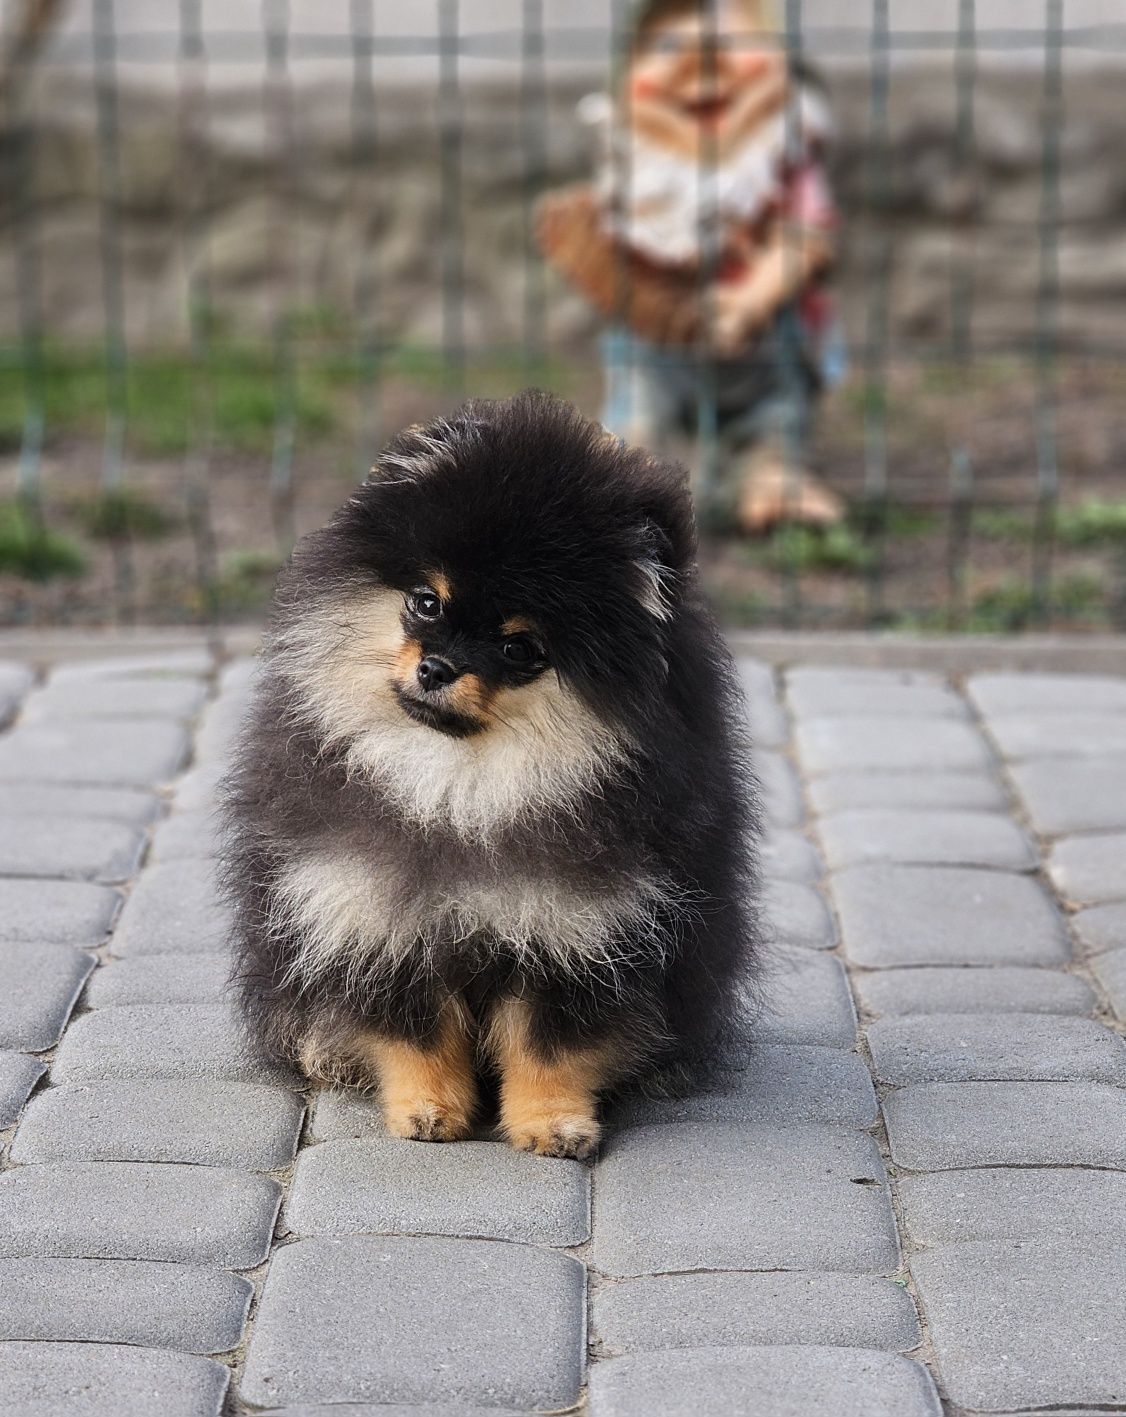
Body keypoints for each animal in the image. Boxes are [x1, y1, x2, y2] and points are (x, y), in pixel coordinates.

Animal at [225, 391, 759, 1161]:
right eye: (426, 601)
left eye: (520, 647)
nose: (436, 668)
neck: (463, 790)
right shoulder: (379, 913)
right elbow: (416, 1032)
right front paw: (428, 1108)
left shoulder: (583, 928)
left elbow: (549, 1043)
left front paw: (551, 1122)